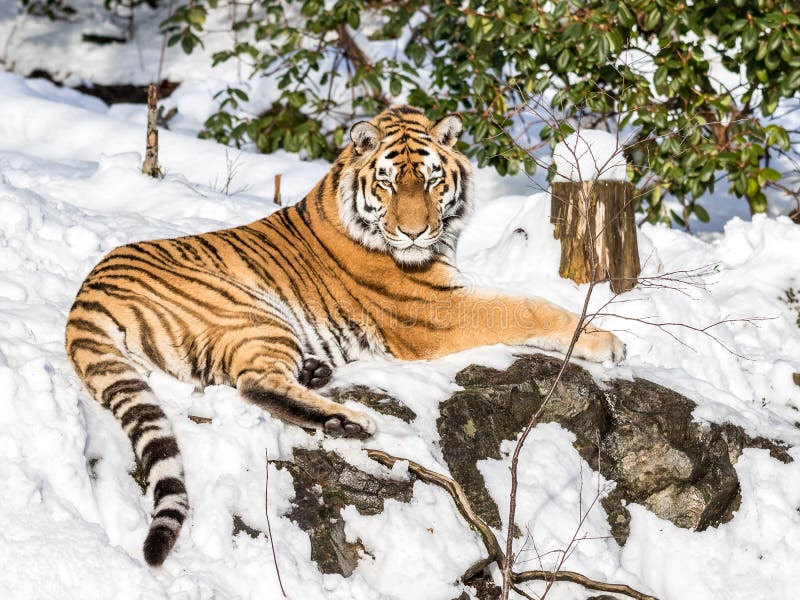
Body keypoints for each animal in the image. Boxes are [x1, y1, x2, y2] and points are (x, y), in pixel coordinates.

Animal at [64, 106, 624, 568]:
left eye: (431, 181)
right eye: (389, 185)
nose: (415, 233)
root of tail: (86, 294)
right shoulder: (438, 309)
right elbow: (526, 305)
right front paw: (607, 341)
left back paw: (319, 376)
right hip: (254, 312)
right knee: (254, 383)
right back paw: (350, 420)